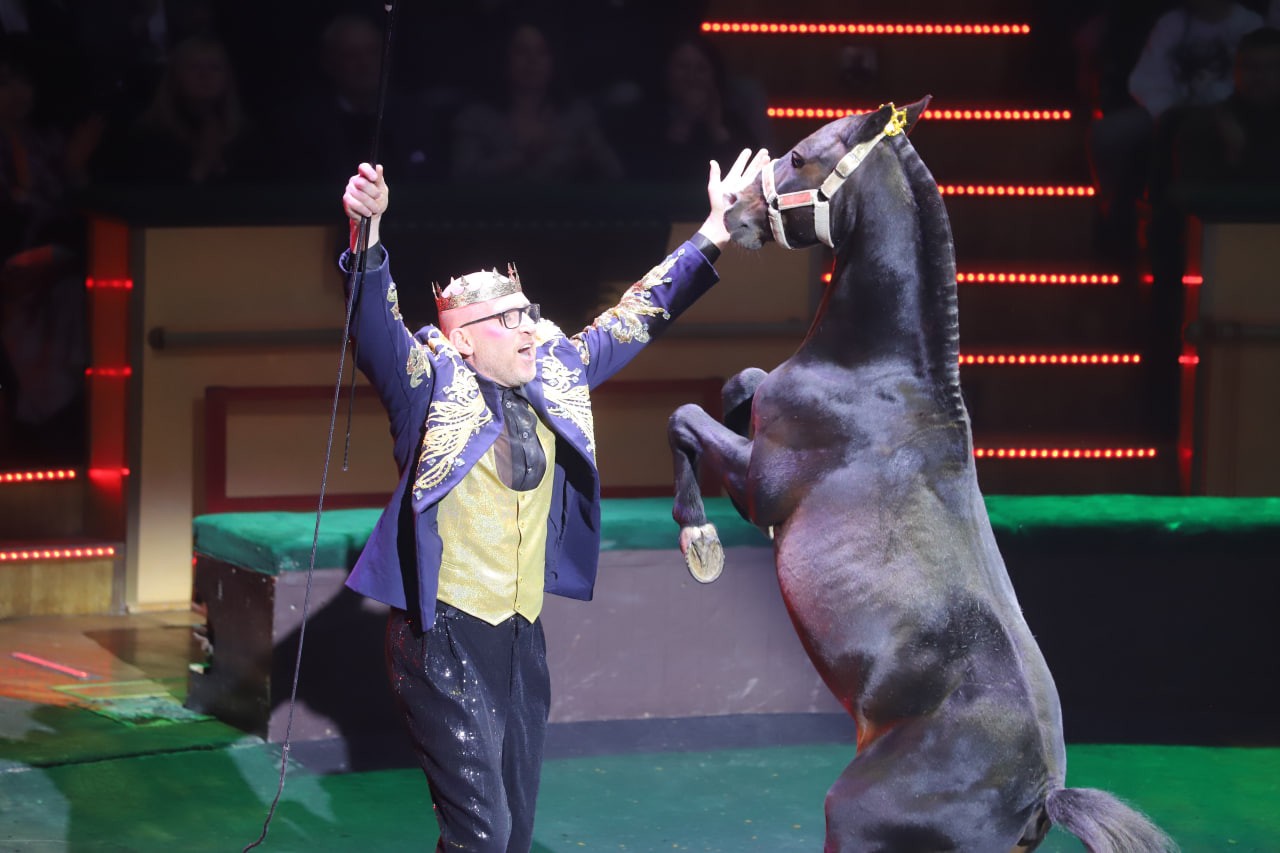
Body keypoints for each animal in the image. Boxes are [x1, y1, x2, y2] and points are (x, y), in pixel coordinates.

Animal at [667, 98, 1176, 852]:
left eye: (799, 155)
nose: (733, 214)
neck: (880, 376)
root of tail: (1040, 794)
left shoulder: (760, 489)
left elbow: (686, 415)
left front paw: (697, 537)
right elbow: (740, 383)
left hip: (851, 816)